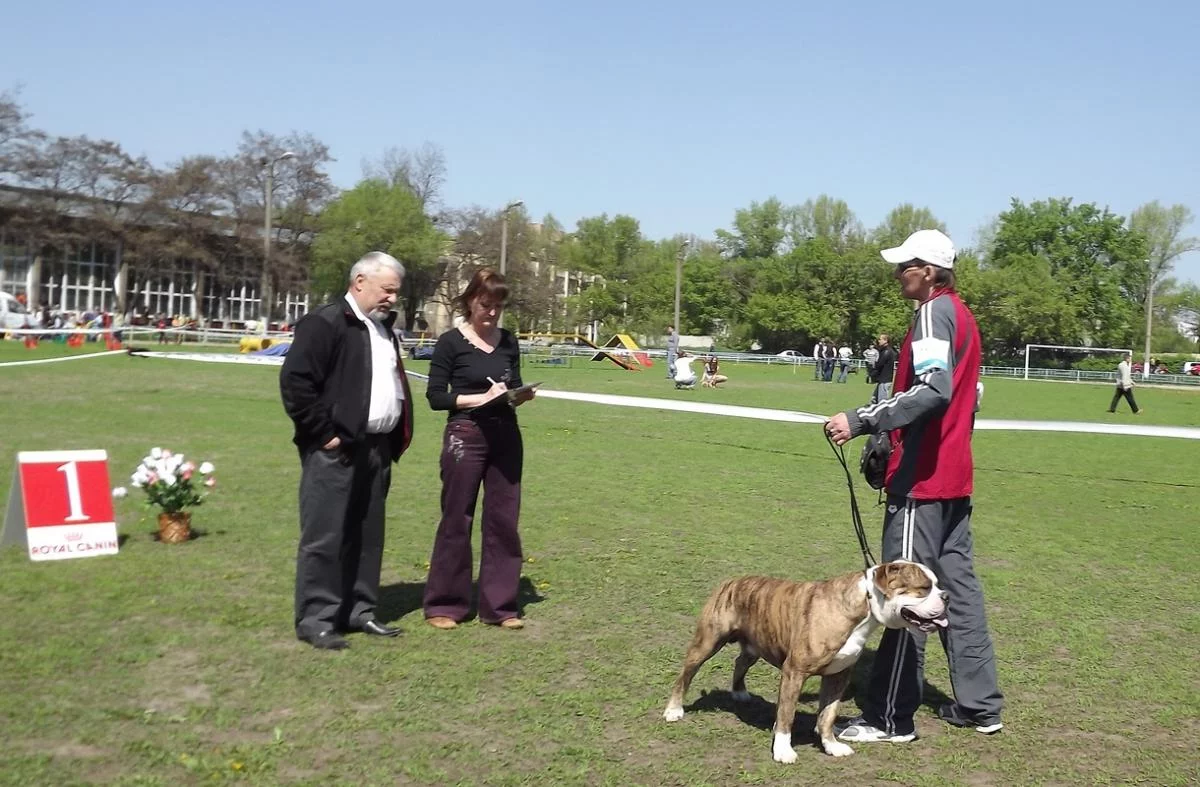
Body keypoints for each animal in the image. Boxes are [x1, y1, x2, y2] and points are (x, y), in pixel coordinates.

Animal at [662, 560, 947, 762]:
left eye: (937, 585)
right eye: (924, 588)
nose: (946, 596)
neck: (862, 607)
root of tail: (731, 580)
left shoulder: (838, 675)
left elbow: (828, 715)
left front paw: (831, 746)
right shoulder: (795, 672)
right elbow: (786, 715)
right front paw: (783, 751)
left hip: (755, 645)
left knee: (740, 661)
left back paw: (740, 692)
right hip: (707, 642)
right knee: (685, 674)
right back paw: (674, 710)